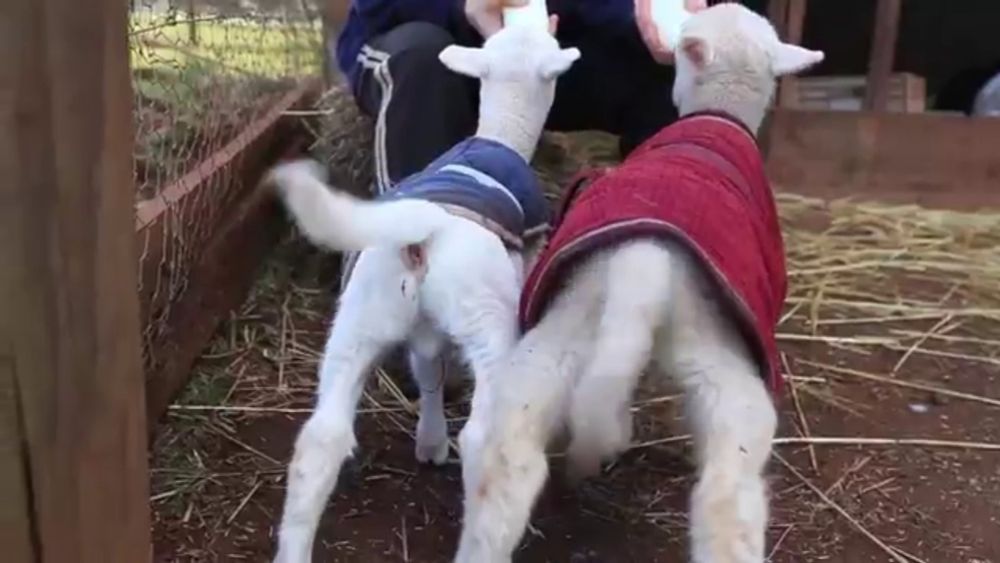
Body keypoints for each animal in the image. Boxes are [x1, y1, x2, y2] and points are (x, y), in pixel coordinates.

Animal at [266, 13, 584, 563]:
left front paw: (430, 441)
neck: (501, 134)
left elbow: (428, 368)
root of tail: (425, 229)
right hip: (487, 322)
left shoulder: (420, 329)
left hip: (361, 317)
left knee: (321, 439)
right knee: (484, 444)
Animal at [458, 4, 824, 563]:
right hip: (716, 360)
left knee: (507, 466)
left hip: (555, 344)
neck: (720, 115)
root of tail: (644, 261)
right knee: (729, 495)